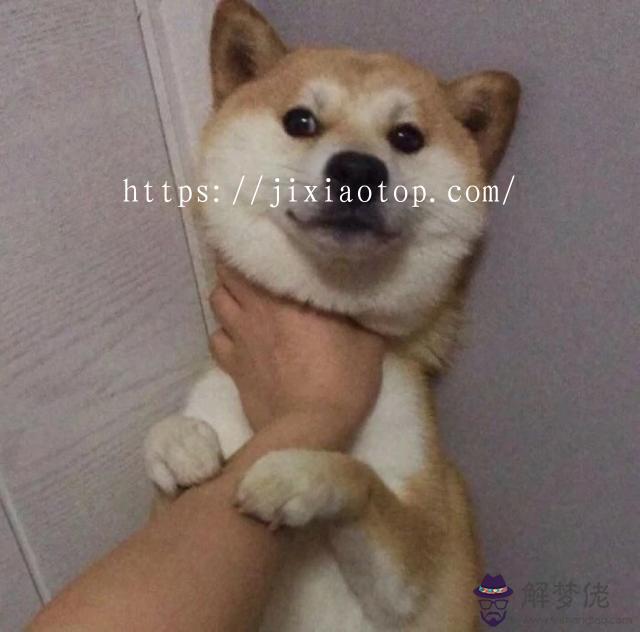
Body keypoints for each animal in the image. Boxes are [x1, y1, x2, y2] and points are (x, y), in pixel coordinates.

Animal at [144, 1, 520, 629]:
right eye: (300, 121)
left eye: (407, 136)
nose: (358, 170)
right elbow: (172, 483)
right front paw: (176, 442)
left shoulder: (415, 563)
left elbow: (361, 479)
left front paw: (298, 474)